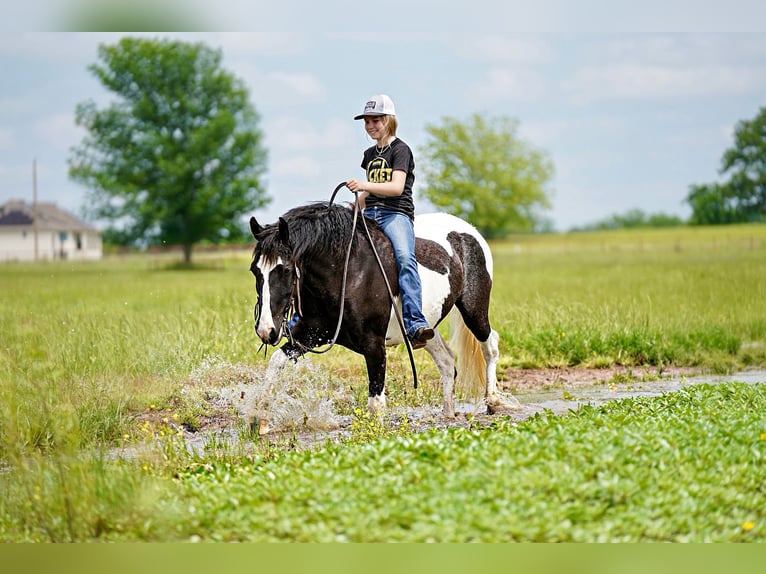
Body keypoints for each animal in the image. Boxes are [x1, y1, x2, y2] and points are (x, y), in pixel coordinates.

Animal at [250, 202, 520, 428]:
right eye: (255, 270)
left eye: (284, 269)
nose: (266, 330)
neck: (347, 272)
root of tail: (468, 232)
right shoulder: (311, 334)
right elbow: (276, 362)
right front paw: (259, 419)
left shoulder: (374, 343)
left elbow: (376, 400)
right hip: (426, 329)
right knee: (446, 361)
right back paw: (448, 413)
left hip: (474, 309)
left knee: (490, 345)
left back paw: (493, 401)